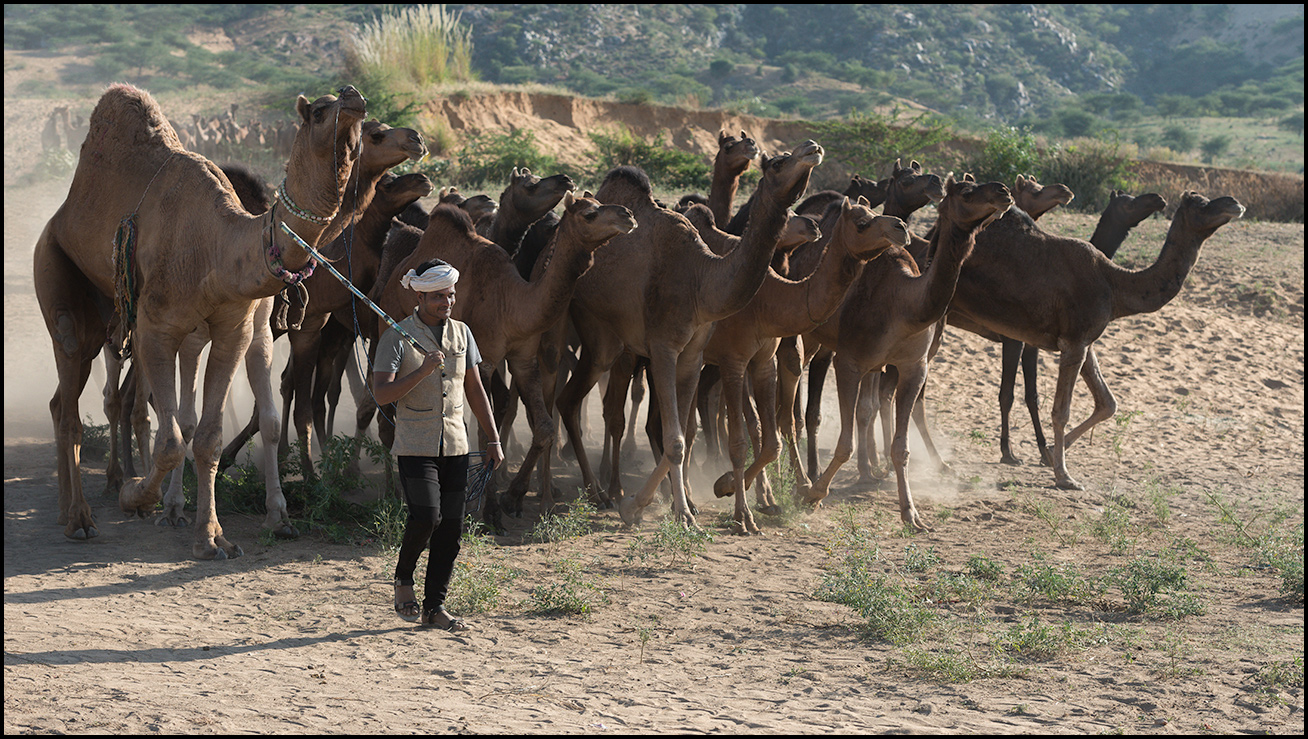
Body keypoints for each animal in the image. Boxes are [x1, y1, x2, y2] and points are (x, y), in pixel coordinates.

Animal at [37, 83, 363, 557]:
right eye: (320, 111)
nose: (355, 97)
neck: (216, 247)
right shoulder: (156, 329)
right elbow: (172, 438)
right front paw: (137, 496)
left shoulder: (234, 331)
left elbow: (207, 438)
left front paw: (210, 537)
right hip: (54, 267)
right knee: (71, 394)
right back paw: (80, 518)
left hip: (104, 317)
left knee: (62, 400)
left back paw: (66, 509)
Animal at [557, 139, 821, 531]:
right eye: (776, 163)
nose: (811, 147)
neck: (702, 279)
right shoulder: (664, 347)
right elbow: (677, 438)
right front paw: (680, 511)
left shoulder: (694, 354)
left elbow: (683, 429)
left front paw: (645, 505)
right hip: (599, 337)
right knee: (573, 400)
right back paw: (598, 490)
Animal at [795, 175, 1009, 528]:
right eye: (967, 192)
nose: (1004, 192)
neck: (906, 306)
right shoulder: (849, 361)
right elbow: (845, 443)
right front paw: (814, 493)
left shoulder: (912, 368)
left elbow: (900, 446)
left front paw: (911, 513)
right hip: (806, 335)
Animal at [941, 189, 1234, 489]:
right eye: (1201, 204)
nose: (1234, 203)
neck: (1115, 284)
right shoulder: (1073, 343)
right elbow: (1061, 411)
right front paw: (1064, 475)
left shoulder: (1085, 341)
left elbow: (1108, 402)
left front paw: (1048, 453)